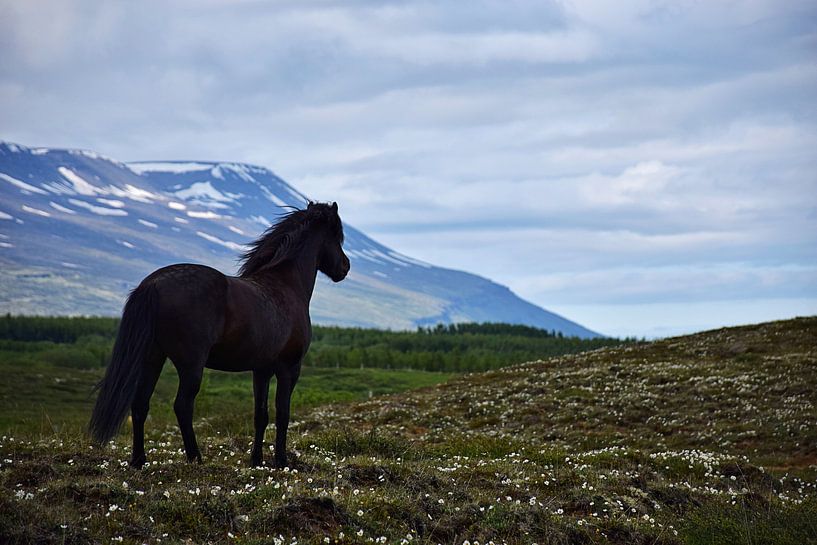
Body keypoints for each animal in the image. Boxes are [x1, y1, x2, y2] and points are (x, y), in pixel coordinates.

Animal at [89, 201, 350, 468]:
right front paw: (281, 460)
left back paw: (139, 460)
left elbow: (261, 414)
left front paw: (256, 460)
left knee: (140, 404)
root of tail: (152, 284)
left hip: (152, 358)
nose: (345, 267)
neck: (285, 286)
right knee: (182, 406)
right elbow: (283, 413)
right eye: (336, 236)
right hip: (190, 365)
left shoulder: (262, 370)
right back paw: (195, 457)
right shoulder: (289, 368)